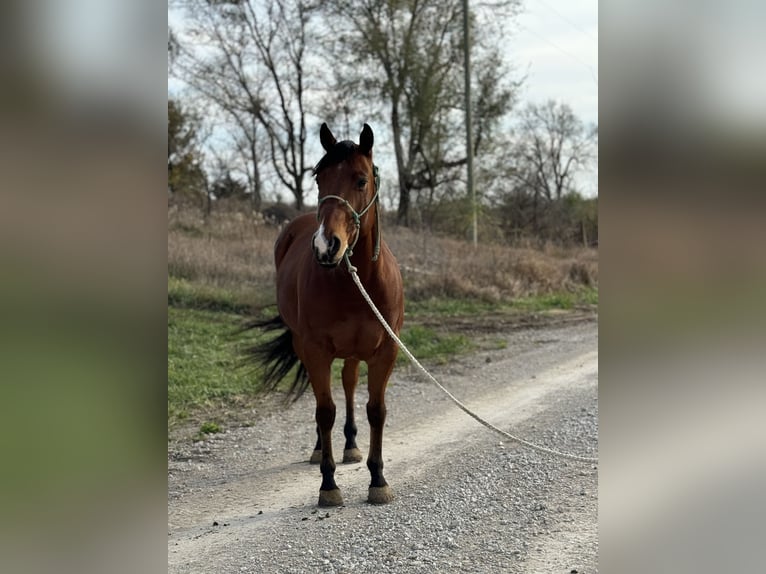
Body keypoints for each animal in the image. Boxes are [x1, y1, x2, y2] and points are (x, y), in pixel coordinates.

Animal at [252, 122, 408, 508]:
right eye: (318, 178)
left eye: (361, 180)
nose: (326, 246)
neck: (354, 281)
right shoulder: (316, 350)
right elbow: (325, 411)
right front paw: (329, 484)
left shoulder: (386, 351)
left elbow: (376, 410)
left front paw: (378, 479)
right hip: (306, 347)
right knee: (323, 398)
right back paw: (320, 448)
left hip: (354, 351)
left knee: (349, 383)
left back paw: (350, 445)